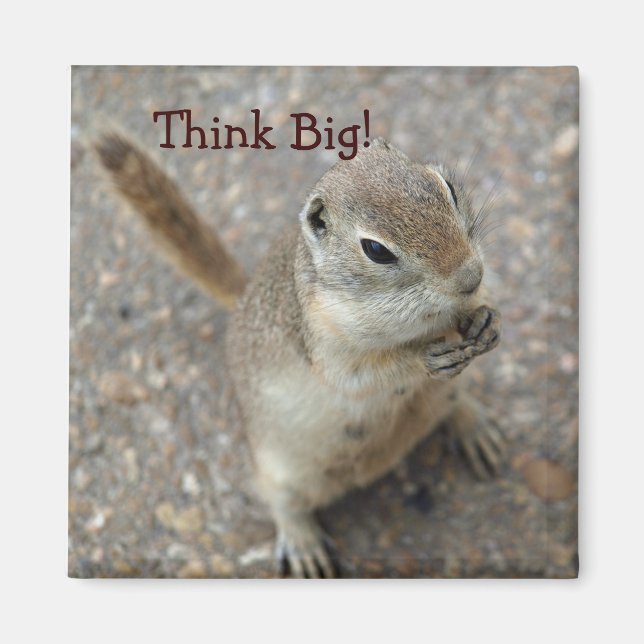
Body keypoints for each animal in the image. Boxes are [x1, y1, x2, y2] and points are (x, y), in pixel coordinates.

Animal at [96, 133, 505, 578]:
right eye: (376, 249)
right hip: (282, 471)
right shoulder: (327, 341)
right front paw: (425, 358)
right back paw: (303, 544)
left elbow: (481, 308)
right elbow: (361, 377)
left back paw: (476, 428)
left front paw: (488, 322)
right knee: (283, 504)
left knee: (453, 404)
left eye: (445, 187)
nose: (470, 276)